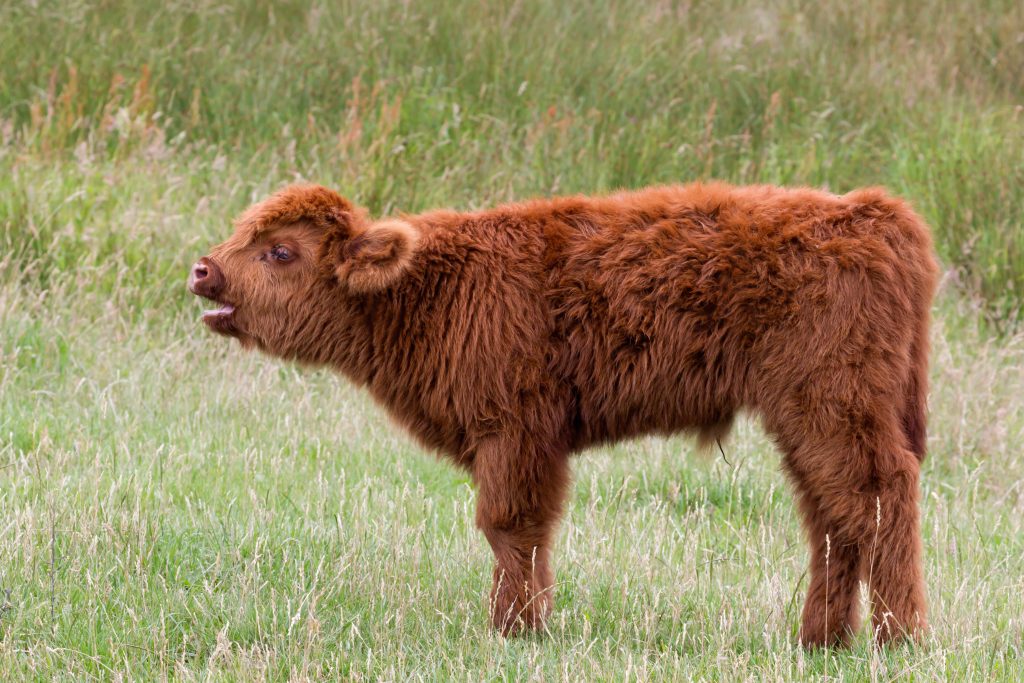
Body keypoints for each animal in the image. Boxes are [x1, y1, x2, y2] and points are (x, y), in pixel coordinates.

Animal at [186, 181, 937, 647]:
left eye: (281, 250)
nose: (202, 271)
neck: (430, 289)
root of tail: (872, 213)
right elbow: (527, 531)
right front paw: (529, 622)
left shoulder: (514, 433)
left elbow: (509, 526)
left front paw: (513, 628)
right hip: (805, 420)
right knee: (833, 516)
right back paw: (820, 640)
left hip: (833, 407)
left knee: (878, 497)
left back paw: (898, 639)